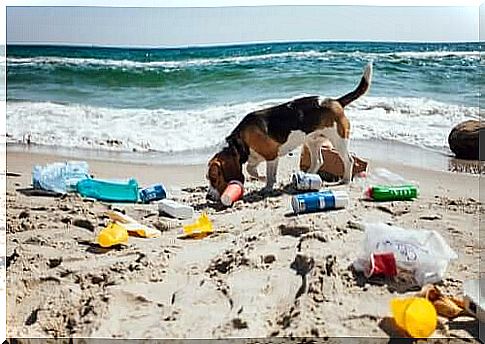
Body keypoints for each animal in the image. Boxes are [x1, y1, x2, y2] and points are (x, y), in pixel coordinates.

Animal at [205, 63, 370, 200]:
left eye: (214, 178)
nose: (208, 197)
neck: (239, 141)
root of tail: (335, 101)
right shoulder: (258, 158)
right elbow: (251, 169)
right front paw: (263, 178)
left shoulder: (271, 156)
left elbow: (268, 174)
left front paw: (267, 184)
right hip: (312, 141)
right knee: (318, 161)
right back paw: (305, 176)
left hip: (338, 140)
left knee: (349, 160)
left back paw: (345, 180)